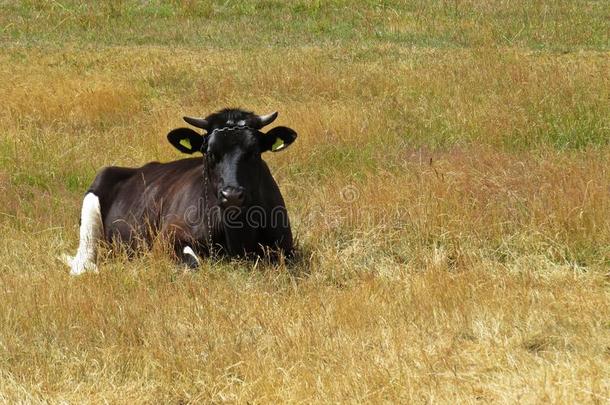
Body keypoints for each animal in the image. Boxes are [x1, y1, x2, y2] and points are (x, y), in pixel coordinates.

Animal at [63, 107, 296, 274]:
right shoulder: (165, 239)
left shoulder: (286, 248)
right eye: (209, 152)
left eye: (254, 152)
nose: (231, 196)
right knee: (83, 261)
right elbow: (194, 262)